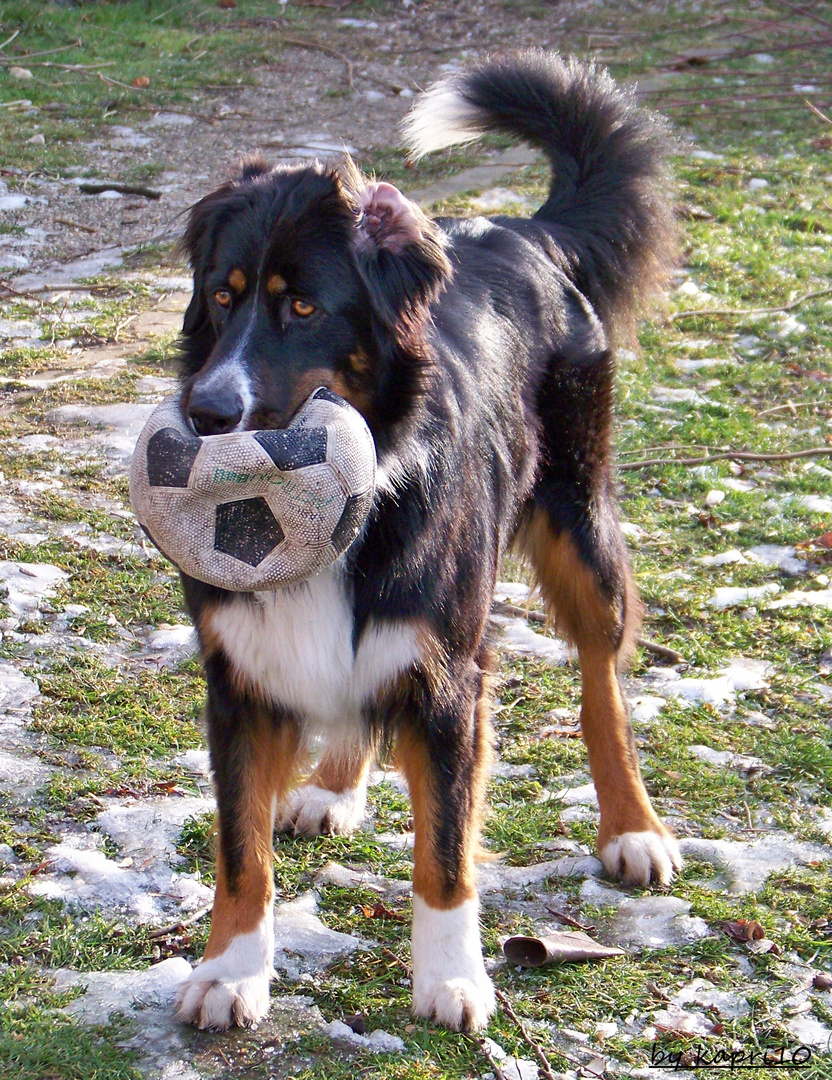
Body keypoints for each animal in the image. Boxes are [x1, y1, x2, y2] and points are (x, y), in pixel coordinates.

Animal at [171, 54, 678, 1032]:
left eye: (302, 306)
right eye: (222, 295)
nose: (208, 412)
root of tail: (528, 231)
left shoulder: (450, 675)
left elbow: (445, 844)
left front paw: (452, 978)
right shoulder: (241, 679)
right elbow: (241, 849)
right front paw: (231, 971)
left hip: (580, 527)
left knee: (602, 681)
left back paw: (633, 827)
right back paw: (334, 785)